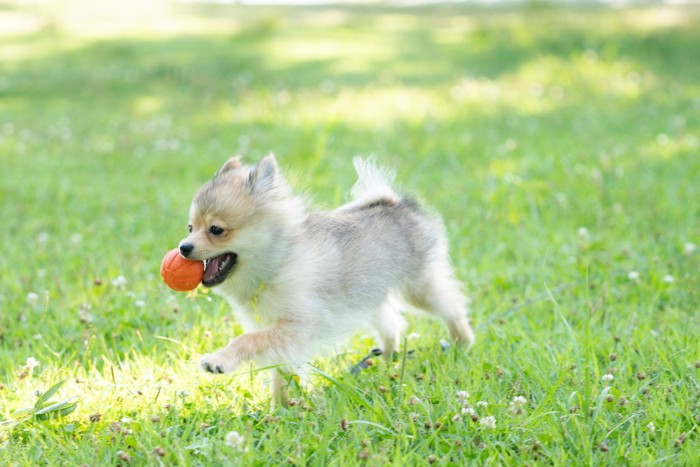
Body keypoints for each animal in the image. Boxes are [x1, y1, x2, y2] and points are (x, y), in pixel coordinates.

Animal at [179, 156, 476, 402]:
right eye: (191, 227)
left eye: (216, 230)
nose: (183, 247)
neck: (276, 264)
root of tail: (393, 203)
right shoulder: (282, 333)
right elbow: (279, 372)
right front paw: (280, 409)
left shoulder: (296, 326)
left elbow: (247, 341)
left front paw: (220, 360)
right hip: (368, 296)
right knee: (391, 324)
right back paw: (387, 360)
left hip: (418, 288)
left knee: (452, 307)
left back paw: (462, 341)